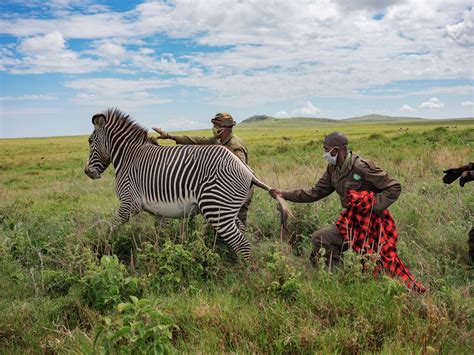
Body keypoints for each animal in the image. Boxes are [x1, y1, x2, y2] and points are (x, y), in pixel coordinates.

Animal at [85, 107, 290, 260]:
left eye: (90, 141)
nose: (87, 172)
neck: (129, 157)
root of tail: (246, 170)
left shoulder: (129, 203)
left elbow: (110, 227)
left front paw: (102, 248)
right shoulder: (159, 211)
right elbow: (161, 237)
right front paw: (160, 257)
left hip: (216, 209)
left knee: (242, 243)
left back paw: (246, 273)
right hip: (227, 209)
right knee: (242, 233)